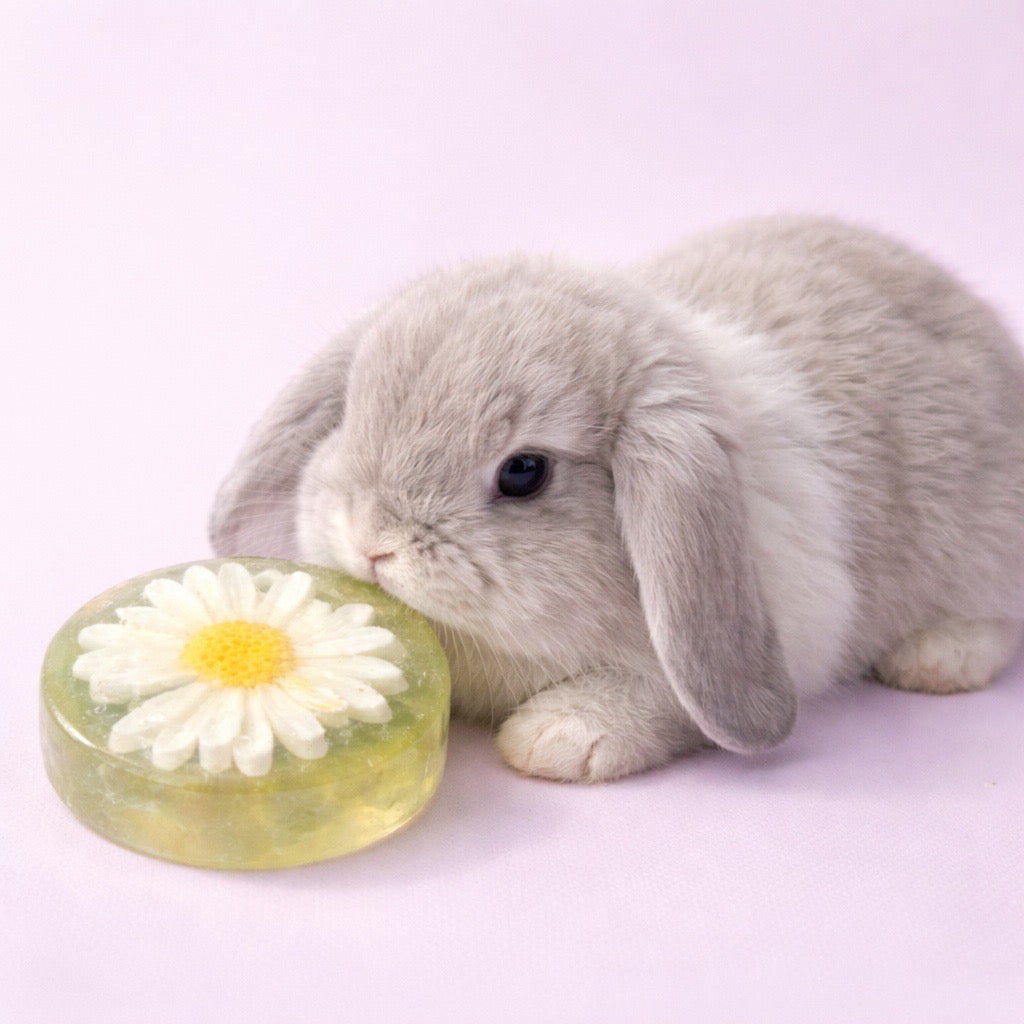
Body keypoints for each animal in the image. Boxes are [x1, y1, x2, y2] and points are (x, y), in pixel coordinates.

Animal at [209, 215, 1024, 782]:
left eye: (524, 472)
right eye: (350, 411)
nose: (371, 542)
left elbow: (662, 696)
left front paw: (558, 739)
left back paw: (937, 660)